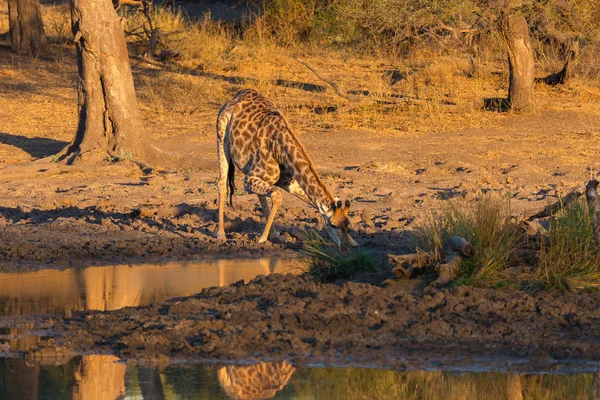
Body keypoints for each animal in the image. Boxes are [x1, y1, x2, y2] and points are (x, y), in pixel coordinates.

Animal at [216, 89, 356, 248]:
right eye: (333, 225)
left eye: (348, 225)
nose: (346, 247)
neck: (282, 149)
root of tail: (236, 95)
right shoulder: (248, 179)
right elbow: (278, 195)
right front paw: (262, 239)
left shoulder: (289, 183)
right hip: (221, 138)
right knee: (222, 183)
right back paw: (221, 235)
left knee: (259, 194)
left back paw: (275, 234)